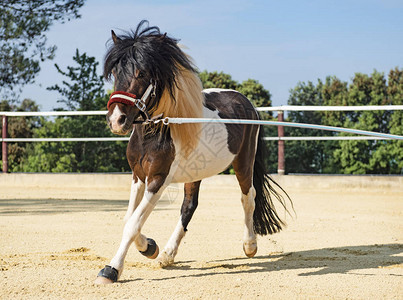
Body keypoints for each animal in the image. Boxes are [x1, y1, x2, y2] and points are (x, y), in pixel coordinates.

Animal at [94, 21, 290, 284]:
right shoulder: (138, 176)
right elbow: (130, 218)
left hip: (244, 162)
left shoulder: (158, 179)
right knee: (189, 206)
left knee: (248, 197)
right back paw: (167, 253)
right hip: (194, 173)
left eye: (142, 73)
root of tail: (246, 102)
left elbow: (133, 223)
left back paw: (250, 245)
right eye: (115, 73)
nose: (117, 120)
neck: (154, 132)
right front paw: (150, 247)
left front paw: (111, 269)